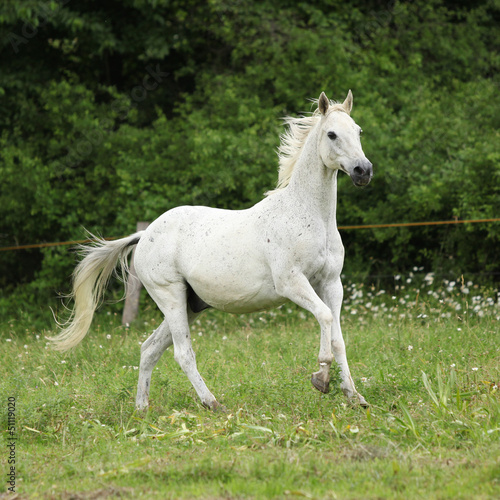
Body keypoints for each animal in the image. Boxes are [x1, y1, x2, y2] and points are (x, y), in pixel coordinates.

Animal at [49, 92, 372, 412]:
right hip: (170, 297)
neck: (308, 215)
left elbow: (338, 338)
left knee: (149, 349)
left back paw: (142, 410)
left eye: (358, 131)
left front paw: (354, 396)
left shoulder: (331, 284)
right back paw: (213, 403)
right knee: (182, 353)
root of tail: (144, 235)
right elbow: (326, 318)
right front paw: (321, 378)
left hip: (190, 305)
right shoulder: (292, 283)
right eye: (331, 134)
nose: (363, 171)